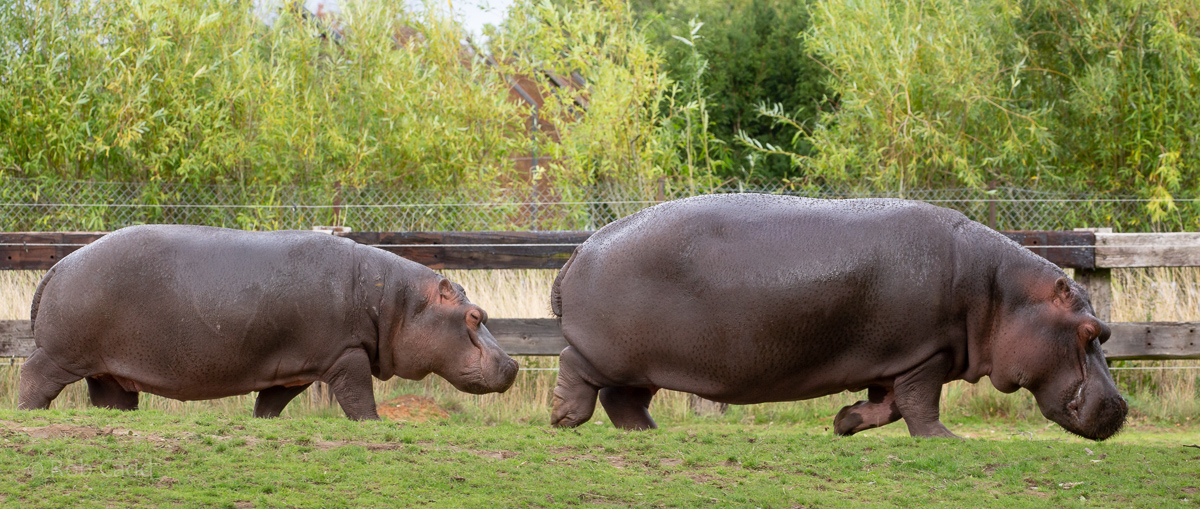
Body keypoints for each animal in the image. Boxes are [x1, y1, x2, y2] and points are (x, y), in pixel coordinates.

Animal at [18, 225, 519, 419]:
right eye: (475, 315)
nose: (512, 364)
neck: (395, 301)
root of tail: (58, 267)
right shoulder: (346, 354)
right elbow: (359, 398)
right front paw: (376, 424)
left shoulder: (299, 367)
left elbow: (271, 404)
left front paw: (262, 421)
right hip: (62, 355)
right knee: (32, 375)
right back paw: (28, 415)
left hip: (108, 371)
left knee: (109, 399)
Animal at [549, 194, 1127, 440]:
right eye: (1090, 331)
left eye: (1107, 331)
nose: (1122, 408)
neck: (1000, 293)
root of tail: (581, 248)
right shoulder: (928, 354)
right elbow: (919, 404)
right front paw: (945, 440)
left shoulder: (896, 358)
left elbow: (888, 405)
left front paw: (845, 423)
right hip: (608, 353)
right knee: (573, 366)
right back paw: (563, 419)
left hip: (641, 363)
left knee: (623, 400)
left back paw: (648, 433)